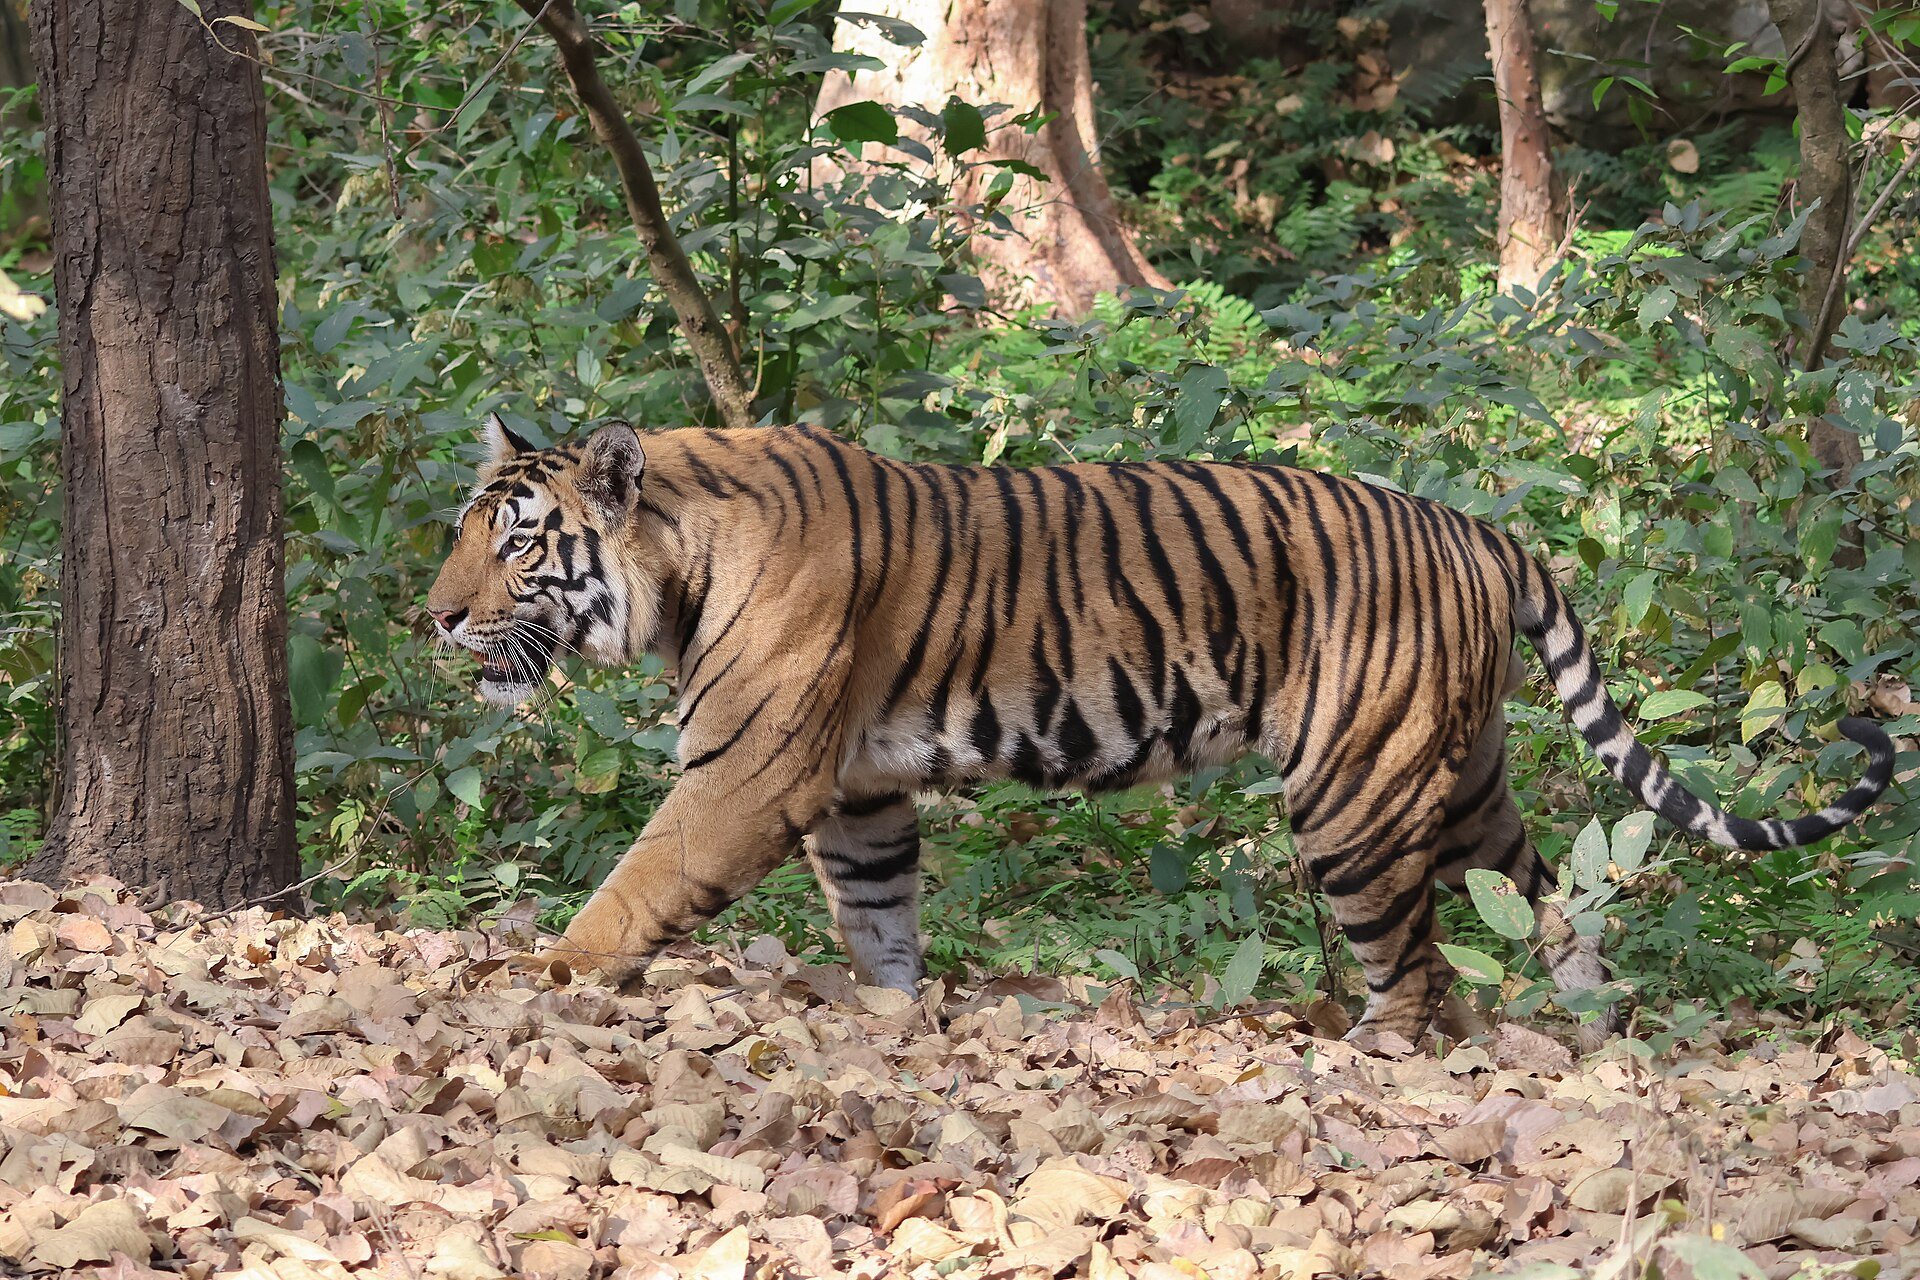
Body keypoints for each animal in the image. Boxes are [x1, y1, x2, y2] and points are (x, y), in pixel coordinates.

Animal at [425, 415, 1895, 1050]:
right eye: (464, 530)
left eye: (517, 542)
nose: (434, 616)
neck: (675, 561)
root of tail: (1479, 527)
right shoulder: (857, 789)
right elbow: (881, 915)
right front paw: (895, 1017)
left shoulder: (751, 771)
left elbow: (640, 881)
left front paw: (550, 973)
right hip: (1464, 776)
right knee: (1546, 895)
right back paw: (1592, 1015)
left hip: (1355, 793)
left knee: (1415, 968)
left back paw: (1376, 1060)